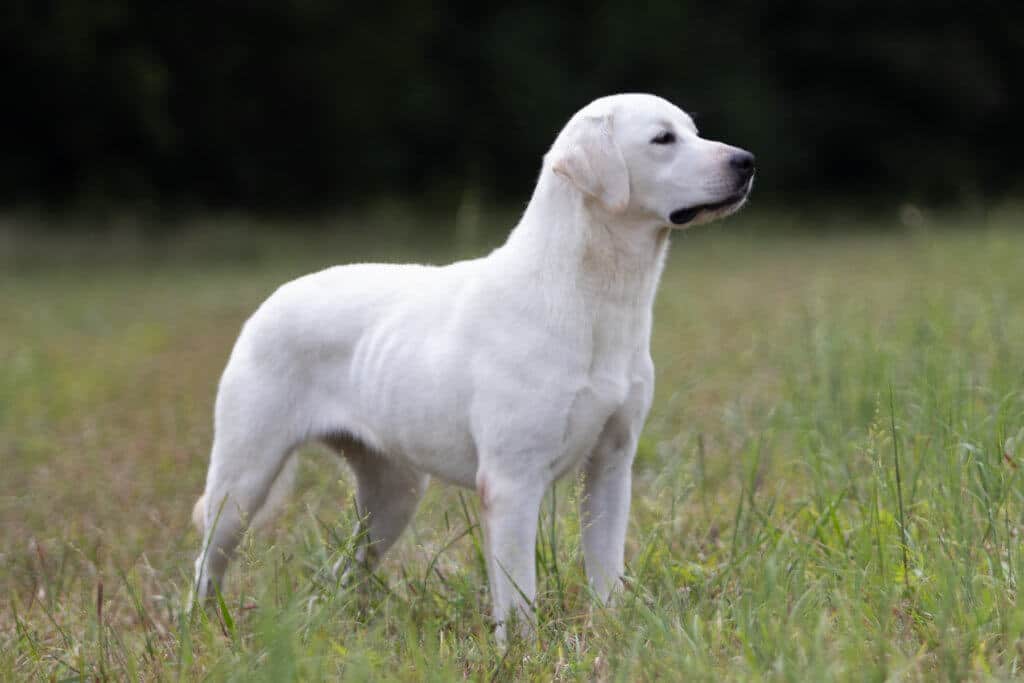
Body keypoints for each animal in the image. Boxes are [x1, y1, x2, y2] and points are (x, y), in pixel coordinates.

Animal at [192, 92, 753, 643]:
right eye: (663, 139)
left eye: (693, 130)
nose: (746, 162)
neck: (591, 296)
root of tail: (271, 299)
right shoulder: (511, 482)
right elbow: (520, 597)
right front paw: (525, 655)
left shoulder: (612, 465)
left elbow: (606, 572)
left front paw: (613, 633)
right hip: (243, 480)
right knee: (207, 561)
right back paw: (202, 632)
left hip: (395, 494)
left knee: (345, 570)